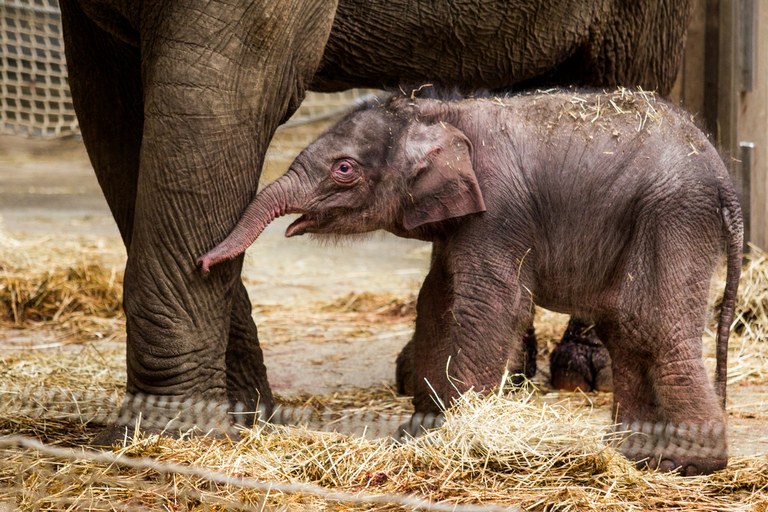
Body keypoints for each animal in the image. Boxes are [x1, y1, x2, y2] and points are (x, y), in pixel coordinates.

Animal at [58, 0, 696, 440]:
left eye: (344, 169)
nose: (208, 259)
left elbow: (214, 96)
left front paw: (171, 436)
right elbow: (112, 112)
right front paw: (245, 416)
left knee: (617, 74)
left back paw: (581, 374)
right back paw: (482, 376)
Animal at [201, 89, 740, 476]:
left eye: (344, 169)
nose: (204, 263)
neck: (438, 110)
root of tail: (723, 172)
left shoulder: (498, 210)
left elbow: (490, 304)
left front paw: (458, 436)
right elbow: (434, 300)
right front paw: (420, 433)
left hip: (675, 213)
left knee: (653, 325)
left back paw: (689, 464)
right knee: (625, 328)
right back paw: (633, 455)